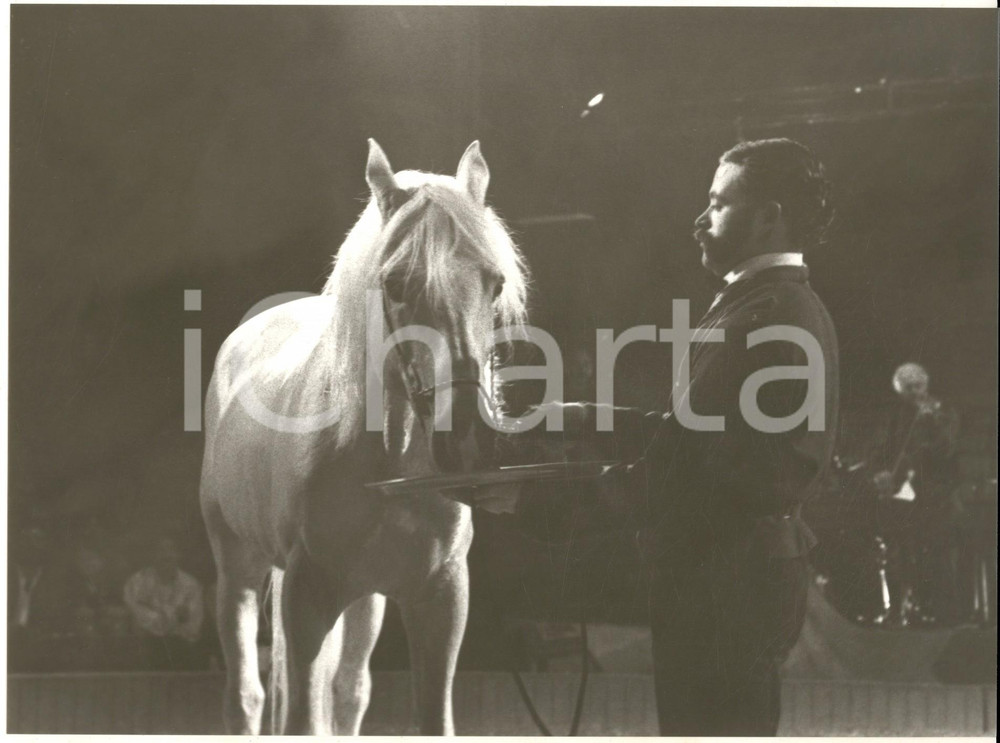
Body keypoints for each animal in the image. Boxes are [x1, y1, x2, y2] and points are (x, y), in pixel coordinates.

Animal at [200, 139, 529, 735]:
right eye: (395, 285)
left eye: (494, 283)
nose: (468, 439)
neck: (388, 464)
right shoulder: (307, 598)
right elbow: (301, 718)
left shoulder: (440, 599)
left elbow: (429, 718)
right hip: (237, 567)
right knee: (247, 696)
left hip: (365, 600)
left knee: (350, 690)